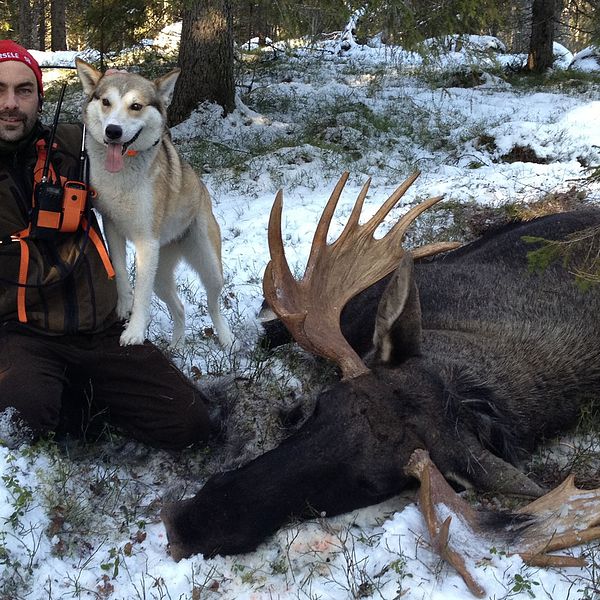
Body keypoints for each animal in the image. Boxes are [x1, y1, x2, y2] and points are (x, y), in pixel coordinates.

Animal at [75, 58, 234, 350]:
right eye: (106, 102)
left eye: (136, 106)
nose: (112, 131)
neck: (122, 177)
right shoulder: (113, 228)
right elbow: (121, 272)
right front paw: (124, 306)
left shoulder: (146, 243)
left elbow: (142, 294)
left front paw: (135, 332)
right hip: (160, 274)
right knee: (179, 308)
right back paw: (177, 345)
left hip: (208, 264)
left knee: (213, 302)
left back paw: (227, 339)